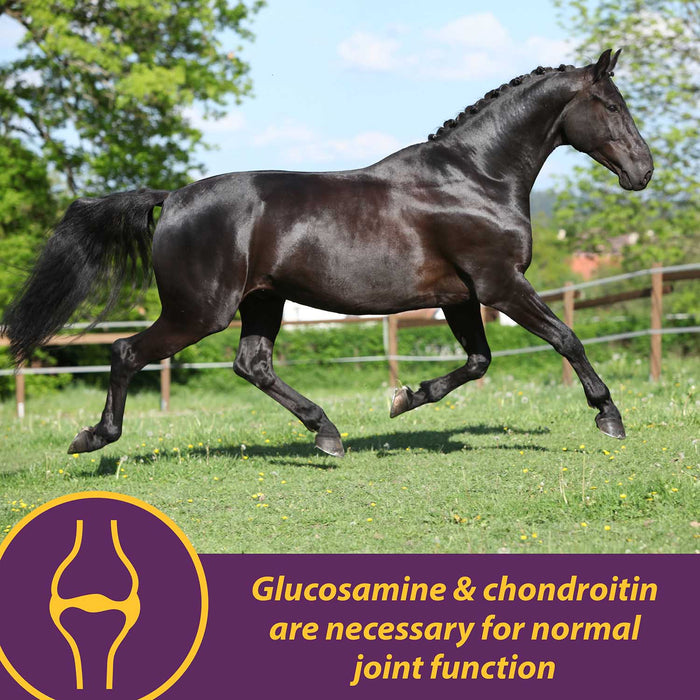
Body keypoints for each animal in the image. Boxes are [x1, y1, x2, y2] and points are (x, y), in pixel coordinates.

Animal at [3, 49, 653, 457]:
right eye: (613, 106)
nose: (643, 172)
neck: (476, 178)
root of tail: (174, 197)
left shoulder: (461, 296)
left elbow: (477, 362)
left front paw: (404, 399)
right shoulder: (501, 284)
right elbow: (566, 338)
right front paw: (610, 418)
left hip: (262, 301)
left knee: (252, 365)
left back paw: (328, 435)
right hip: (199, 311)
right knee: (126, 351)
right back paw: (93, 438)